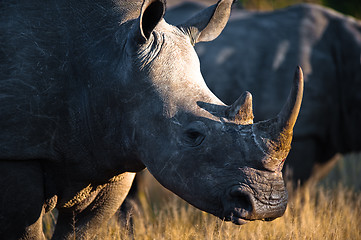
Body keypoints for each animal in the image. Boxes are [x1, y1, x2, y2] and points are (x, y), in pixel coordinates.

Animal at [0, 0, 304, 238]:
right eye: (193, 136)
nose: (267, 205)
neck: (109, 59)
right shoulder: (16, 152)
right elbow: (25, 231)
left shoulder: (108, 147)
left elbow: (80, 231)